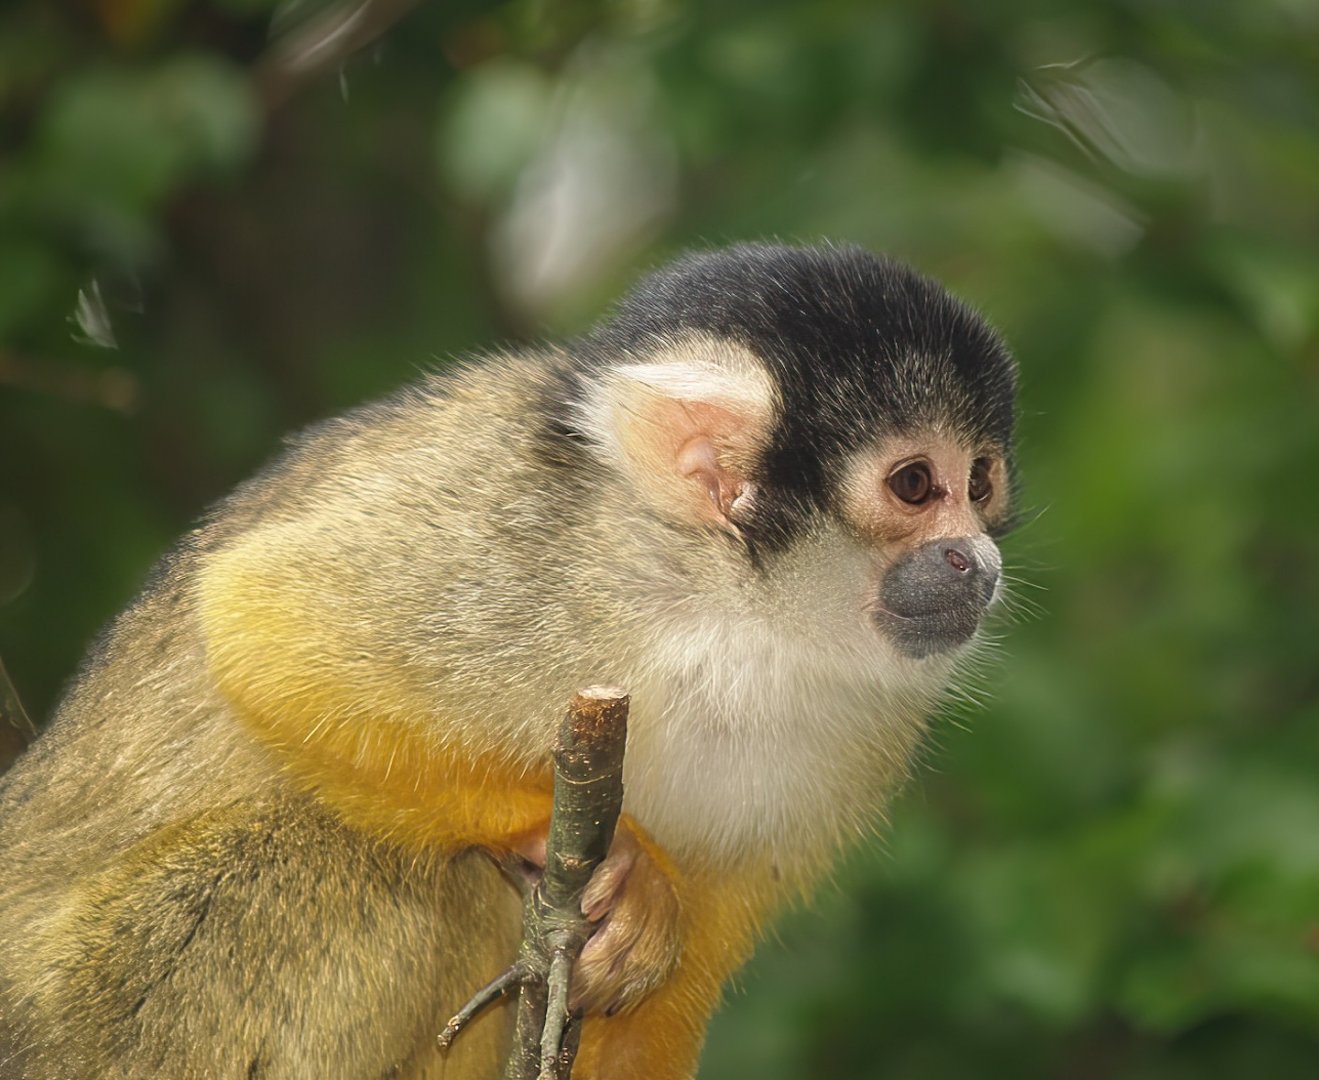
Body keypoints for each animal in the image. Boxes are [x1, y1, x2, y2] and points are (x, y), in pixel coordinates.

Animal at [0, 242, 1018, 1079]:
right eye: (913, 485)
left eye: (979, 483)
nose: (978, 562)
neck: (730, 613)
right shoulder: (535, 556)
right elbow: (267, 621)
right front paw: (629, 870)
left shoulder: (862, 729)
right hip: (70, 1024)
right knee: (372, 871)